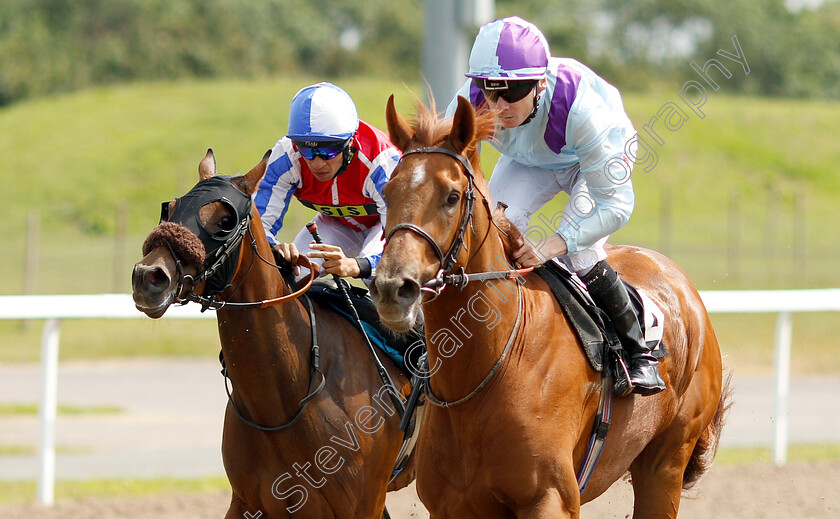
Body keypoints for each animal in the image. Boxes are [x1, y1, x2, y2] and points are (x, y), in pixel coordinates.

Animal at [130, 150, 414, 519]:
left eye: (226, 220)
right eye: (171, 207)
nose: (148, 277)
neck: (284, 402)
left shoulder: (363, 503)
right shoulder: (248, 501)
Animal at [370, 96, 732, 519]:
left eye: (451, 196)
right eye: (387, 193)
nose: (392, 288)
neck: (486, 371)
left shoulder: (549, 498)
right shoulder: (451, 505)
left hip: (666, 463)